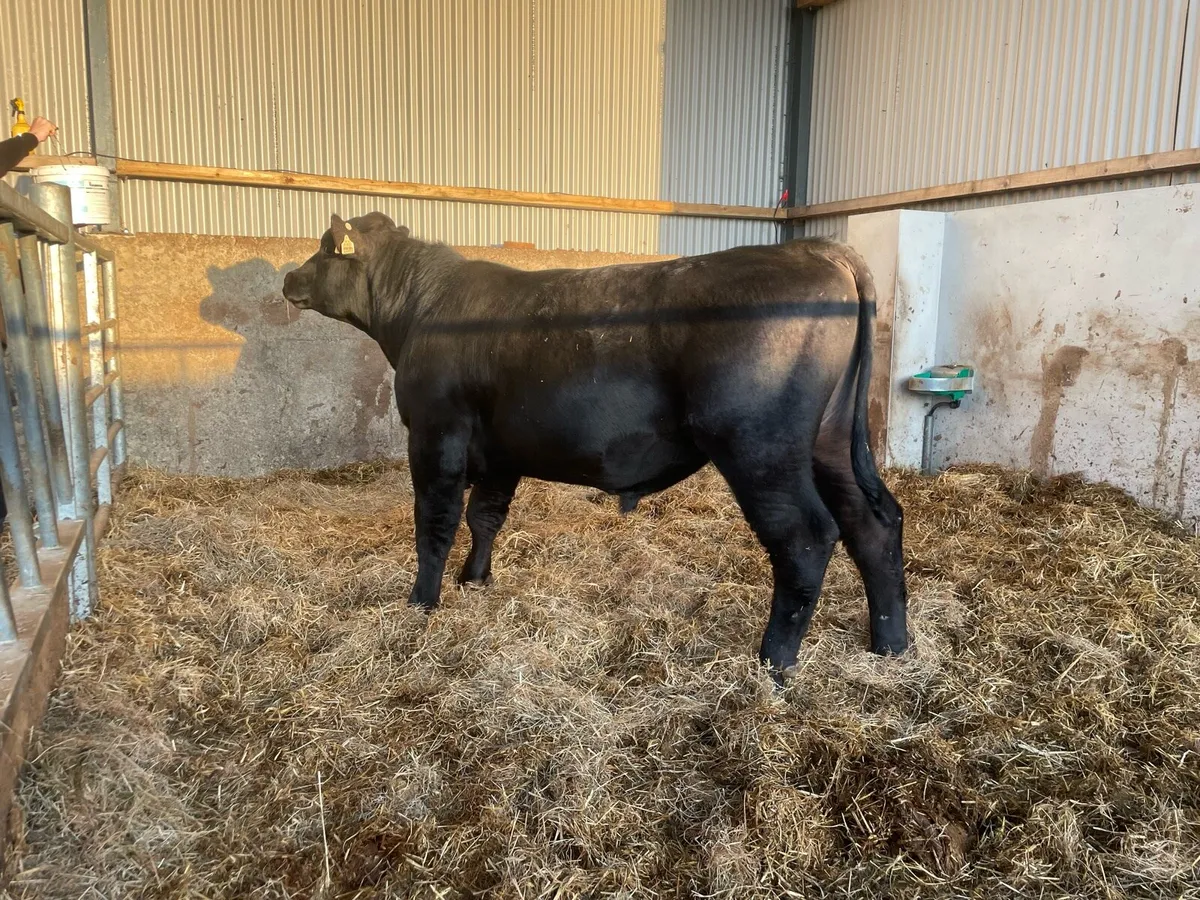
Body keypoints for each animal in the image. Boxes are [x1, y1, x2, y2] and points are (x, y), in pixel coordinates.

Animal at [282, 213, 908, 682]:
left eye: (325, 249)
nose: (288, 278)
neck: (420, 308)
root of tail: (817, 250)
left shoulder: (437, 434)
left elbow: (434, 521)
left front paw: (423, 601)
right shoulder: (500, 450)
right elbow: (486, 516)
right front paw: (475, 580)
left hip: (759, 446)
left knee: (806, 537)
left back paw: (772, 664)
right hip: (829, 441)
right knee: (873, 522)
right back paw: (892, 644)